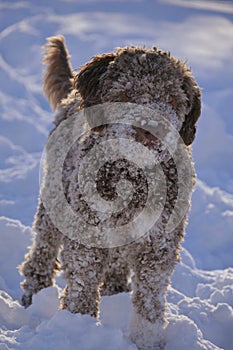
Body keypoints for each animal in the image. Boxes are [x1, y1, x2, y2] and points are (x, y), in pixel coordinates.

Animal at [20, 36, 201, 350]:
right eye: (126, 93)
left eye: (172, 101)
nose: (150, 130)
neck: (133, 175)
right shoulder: (87, 233)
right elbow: (83, 280)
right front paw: (78, 327)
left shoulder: (160, 243)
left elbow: (150, 295)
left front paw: (146, 338)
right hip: (55, 196)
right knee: (44, 244)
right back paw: (35, 288)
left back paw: (115, 290)